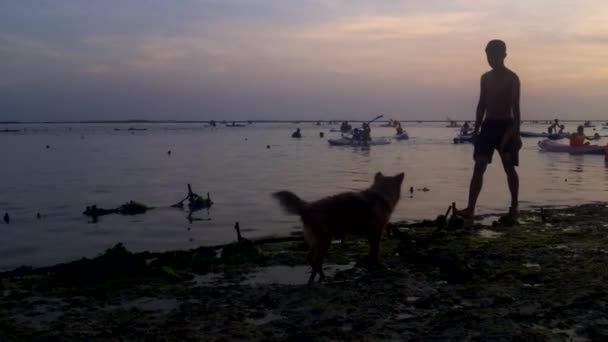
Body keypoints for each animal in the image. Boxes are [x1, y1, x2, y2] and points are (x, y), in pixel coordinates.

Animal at [270, 171, 404, 284]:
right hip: (325, 241)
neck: (381, 194)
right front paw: (379, 264)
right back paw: (322, 278)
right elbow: (376, 251)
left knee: (310, 258)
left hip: (318, 241)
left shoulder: (371, 234)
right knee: (317, 261)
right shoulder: (376, 232)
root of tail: (307, 208)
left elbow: (372, 251)